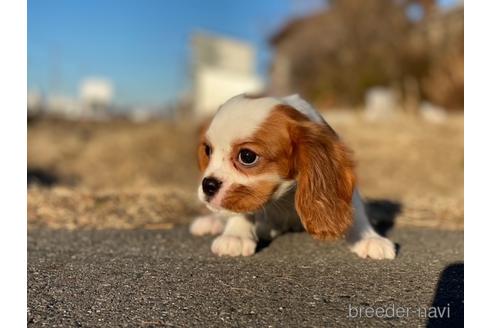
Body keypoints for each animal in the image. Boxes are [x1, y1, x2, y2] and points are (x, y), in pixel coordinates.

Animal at [189, 93, 396, 260]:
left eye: (247, 156)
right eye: (208, 150)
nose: (208, 185)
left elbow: (357, 210)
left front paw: (369, 238)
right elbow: (240, 210)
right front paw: (235, 235)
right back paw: (210, 222)